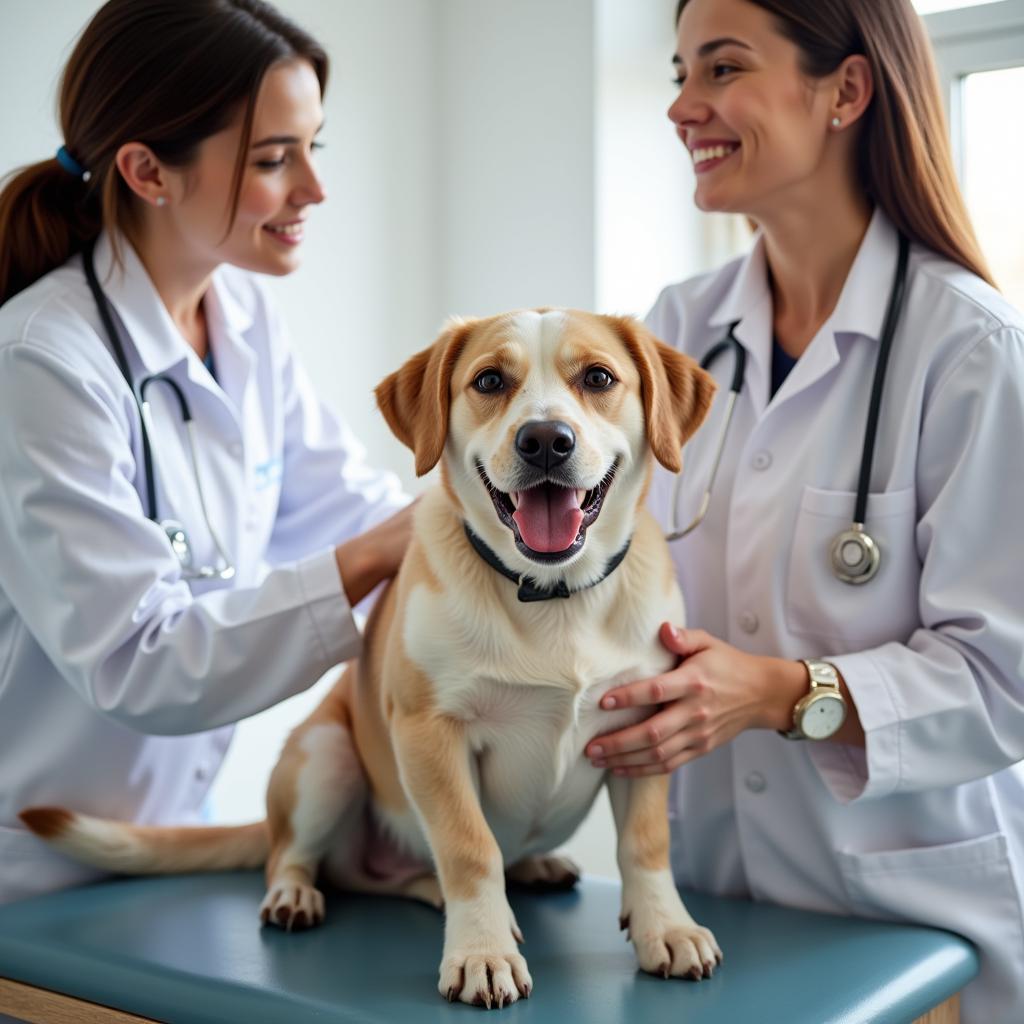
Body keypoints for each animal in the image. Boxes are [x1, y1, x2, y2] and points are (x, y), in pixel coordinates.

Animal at [18, 305, 720, 1007]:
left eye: (598, 377)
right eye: (490, 381)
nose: (545, 440)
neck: (553, 596)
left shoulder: (645, 727)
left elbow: (645, 844)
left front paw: (666, 928)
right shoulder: (428, 732)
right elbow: (469, 848)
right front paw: (482, 951)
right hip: (325, 757)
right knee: (299, 857)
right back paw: (299, 895)